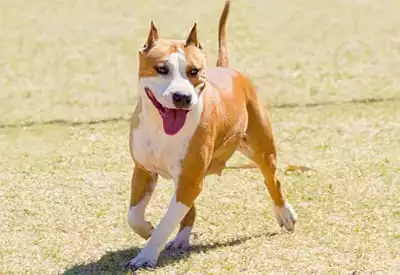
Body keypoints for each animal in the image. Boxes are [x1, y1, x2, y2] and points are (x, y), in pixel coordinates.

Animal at [126, 0, 296, 272]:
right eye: (161, 68)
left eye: (194, 71)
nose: (182, 97)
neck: (161, 128)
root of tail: (228, 69)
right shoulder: (144, 170)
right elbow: (134, 216)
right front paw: (148, 231)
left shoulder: (189, 179)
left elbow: (166, 223)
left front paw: (147, 254)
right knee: (188, 210)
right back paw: (182, 239)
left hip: (261, 150)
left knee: (272, 180)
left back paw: (285, 214)